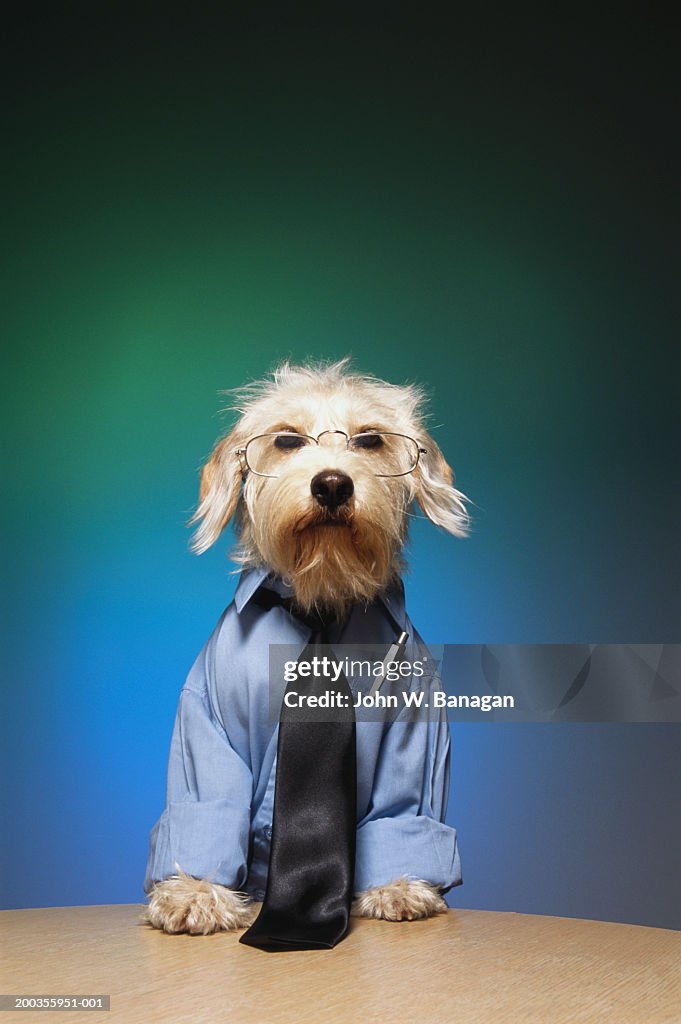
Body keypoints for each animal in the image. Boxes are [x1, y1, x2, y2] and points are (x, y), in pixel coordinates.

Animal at [143, 360, 466, 937]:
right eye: (288, 440)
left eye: (370, 439)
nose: (333, 484)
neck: (321, 604)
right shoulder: (206, 720)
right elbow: (209, 801)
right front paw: (194, 891)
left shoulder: (415, 731)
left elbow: (402, 809)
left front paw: (398, 885)